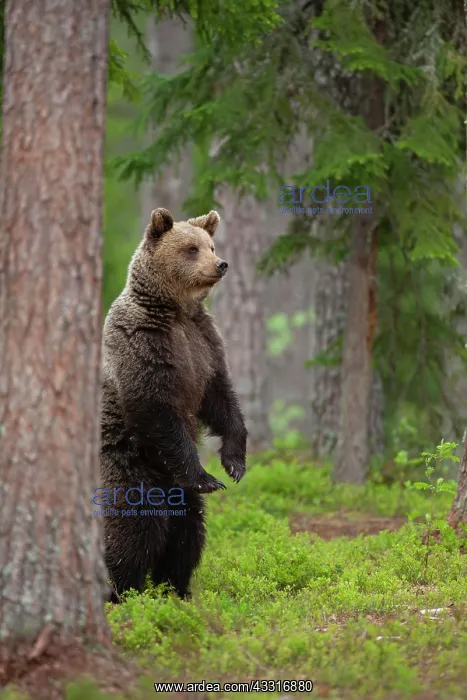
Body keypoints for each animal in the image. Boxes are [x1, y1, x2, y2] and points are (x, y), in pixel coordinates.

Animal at [100, 207, 248, 602]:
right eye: (191, 248)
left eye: (211, 245)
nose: (221, 264)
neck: (175, 310)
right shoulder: (144, 344)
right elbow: (157, 410)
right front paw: (208, 476)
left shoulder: (204, 344)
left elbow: (221, 398)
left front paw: (234, 462)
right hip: (128, 464)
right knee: (135, 526)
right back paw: (122, 590)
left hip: (176, 491)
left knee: (187, 530)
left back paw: (176, 588)